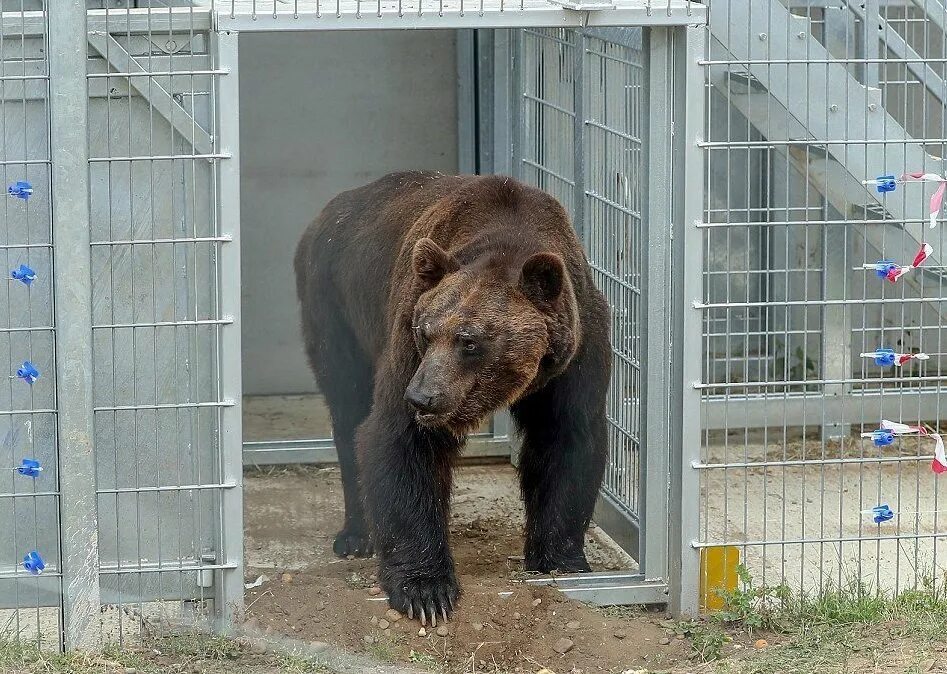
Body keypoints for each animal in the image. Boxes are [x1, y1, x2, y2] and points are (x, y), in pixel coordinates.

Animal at [292, 171, 612, 624]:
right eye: (425, 331)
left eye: (469, 340)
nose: (421, 397)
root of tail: (329, 210)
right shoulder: (407, 331)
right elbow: (400, 441)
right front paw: (425, 590)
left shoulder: (575, 351)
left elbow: (566, 441)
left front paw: (561, 560)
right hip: (335, 305)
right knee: (348, 409)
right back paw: (356, 535)